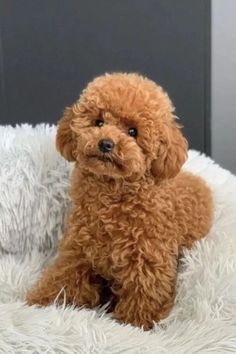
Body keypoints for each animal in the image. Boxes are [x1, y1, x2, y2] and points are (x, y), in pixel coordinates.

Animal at [26, 72, 213, 330]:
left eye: (133, 132)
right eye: (99, 122)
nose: (106, 143)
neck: (112, 197)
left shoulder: (147, 262)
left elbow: (143, 299)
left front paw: (134, 326)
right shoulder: (78, 253)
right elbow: (62, 280)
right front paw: (37, 303)